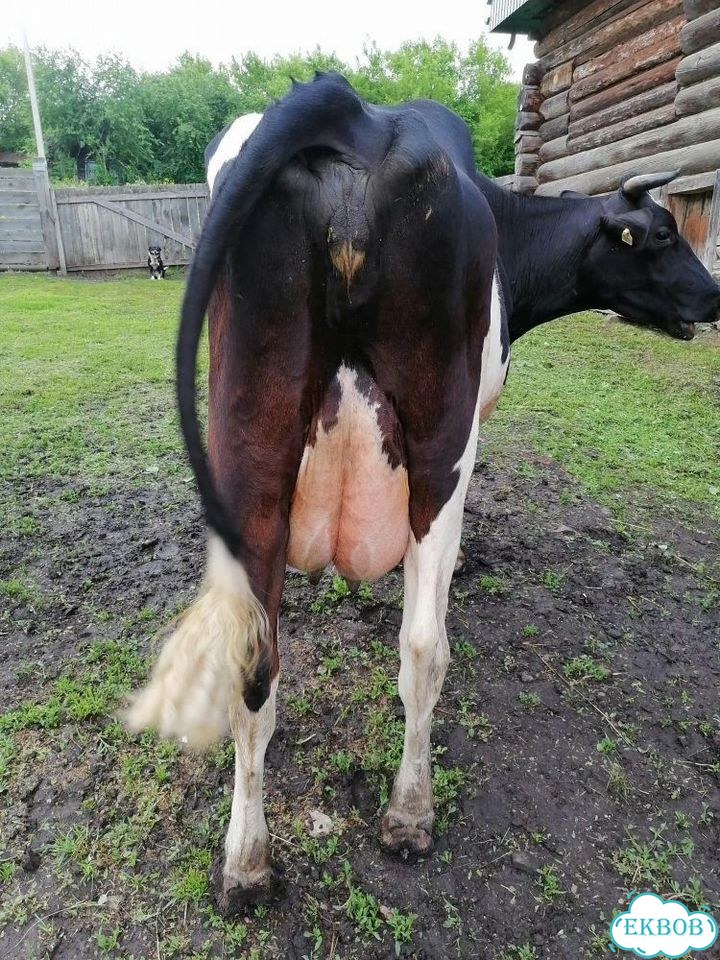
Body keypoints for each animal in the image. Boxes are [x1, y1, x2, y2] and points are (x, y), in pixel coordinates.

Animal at [126, 73, 720, 912]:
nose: (715, 295)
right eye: (663, 236)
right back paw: (410, 812)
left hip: (249, 446)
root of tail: (352, 111)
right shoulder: (472, 427)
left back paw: (246, 859)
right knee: (422, 647)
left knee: (254, 658)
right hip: (439, 439)